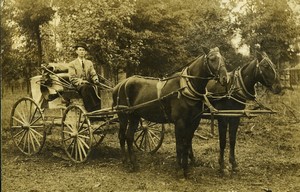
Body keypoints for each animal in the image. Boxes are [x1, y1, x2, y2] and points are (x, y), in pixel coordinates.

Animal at [112, 47, 227, 177]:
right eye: (212, 59)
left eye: (223, 58)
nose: (224, 78)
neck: (186, 88)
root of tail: (119, 85)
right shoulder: (179, 122)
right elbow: (180, 146)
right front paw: (178, 170)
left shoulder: (193, 122)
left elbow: (187, 144)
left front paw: (186, 169)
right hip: (123, 115)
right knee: (122, 136)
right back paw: (126, 161)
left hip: (134, 116)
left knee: (129, 136)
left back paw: (133, 164)